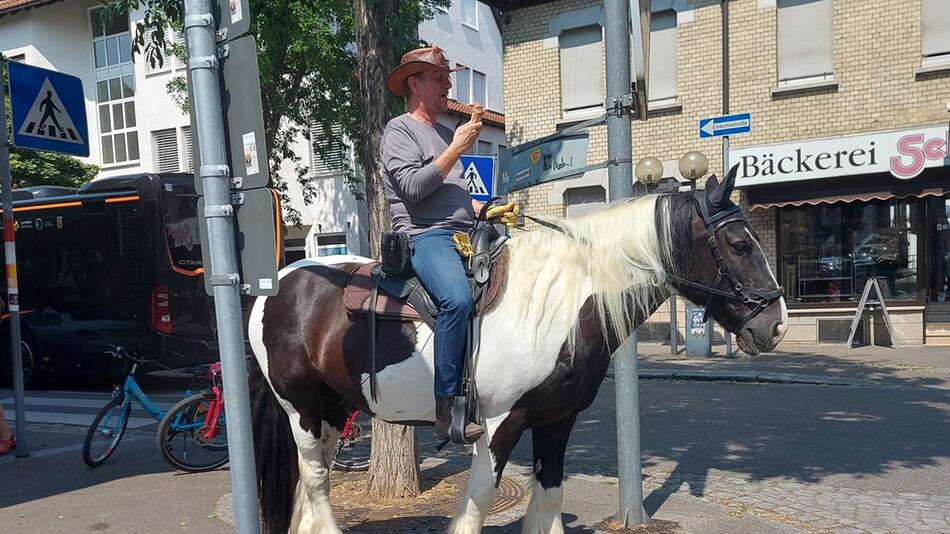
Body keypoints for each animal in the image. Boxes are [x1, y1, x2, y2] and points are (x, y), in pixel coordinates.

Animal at [245, 166, 788, 532]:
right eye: (739, 244)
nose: (777, 324)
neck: (558, 304)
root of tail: (276, 284)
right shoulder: (497, 423)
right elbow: (478, 505)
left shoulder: (556, 421)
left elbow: (549, 497)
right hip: (300, 409)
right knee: (316, 484)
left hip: (333, 410)